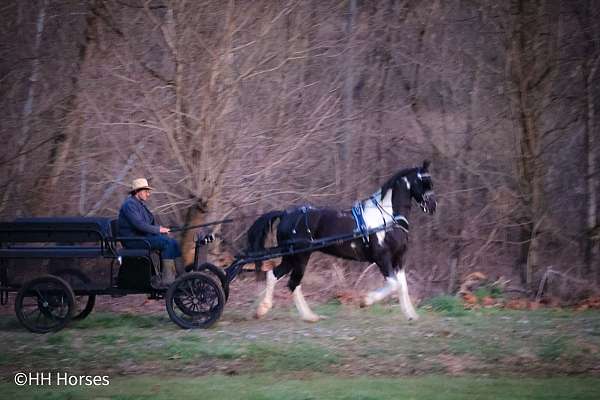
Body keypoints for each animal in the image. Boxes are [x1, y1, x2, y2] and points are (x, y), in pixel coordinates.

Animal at [245, 161, 436, 320]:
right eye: (424, 182)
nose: (433, 206)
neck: (388, 219)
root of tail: (285, 214)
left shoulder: (399, 259)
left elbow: (402, 286)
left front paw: (411, 315)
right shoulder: (382, 258)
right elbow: (394, 285)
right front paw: (365, 300)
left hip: (292, 257)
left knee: (278, 276)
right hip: (299, 257)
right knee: (291, 282)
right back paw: (299, 315)